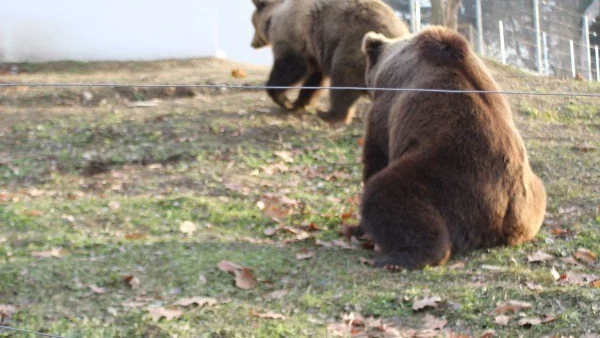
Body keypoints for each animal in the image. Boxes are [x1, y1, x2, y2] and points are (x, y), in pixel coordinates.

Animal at [248, 0, 408, 124]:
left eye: (253, 24)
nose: (252, 44)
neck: (273, 17)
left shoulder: (293, 34)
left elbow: (291, 65)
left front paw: (284, 100)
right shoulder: (313, 49)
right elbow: (314, 78)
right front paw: (299, 103)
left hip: (353, 46)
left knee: (342, 81)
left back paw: (330, 114)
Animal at [358, 26, 548, 270]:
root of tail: (506, 214)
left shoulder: (386, 110)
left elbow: (375, 157)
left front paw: (358, 228)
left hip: (450, 180)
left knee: (387, 192)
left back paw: (397, 257)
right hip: (532, 196)